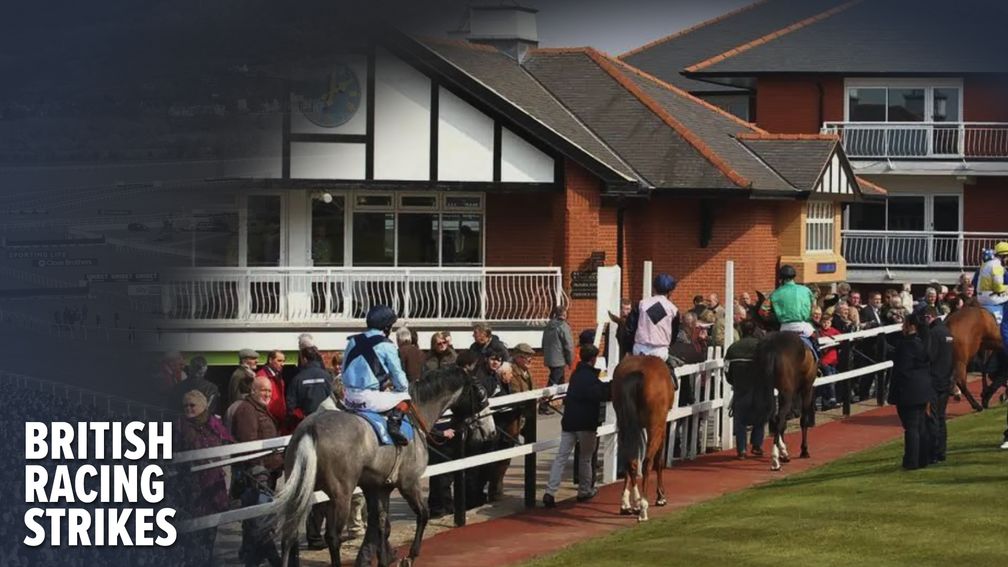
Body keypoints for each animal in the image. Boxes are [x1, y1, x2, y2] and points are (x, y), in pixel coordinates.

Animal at [273, 366, 488, 567]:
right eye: (477, 387)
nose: (485, 404)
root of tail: (311, 428)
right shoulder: (409, 482)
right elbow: (422, 514)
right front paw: (410, 556)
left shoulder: (379, 487)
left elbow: (382, 525)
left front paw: (384, 559)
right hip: (341, 494)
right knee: (333, 537)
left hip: (300, 488)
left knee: (288, 535)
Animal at [611, 355, 676, 522]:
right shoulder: (662, 425)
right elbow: (659, 460)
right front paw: (660, 497)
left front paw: (627, 503)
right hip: (655, 426)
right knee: (647, 462)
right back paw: (643, 508)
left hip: (624, 425)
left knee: (629, 460)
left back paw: (632, 502)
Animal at [751, 293, 819, 471]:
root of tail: (772, 348)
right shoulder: (807, 388)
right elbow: (803, 418)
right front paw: (804, 450)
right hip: (788, 392)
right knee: (780, 417)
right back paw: (777, 459)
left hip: (765, 389)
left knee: (773, 417)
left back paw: (780, 453)